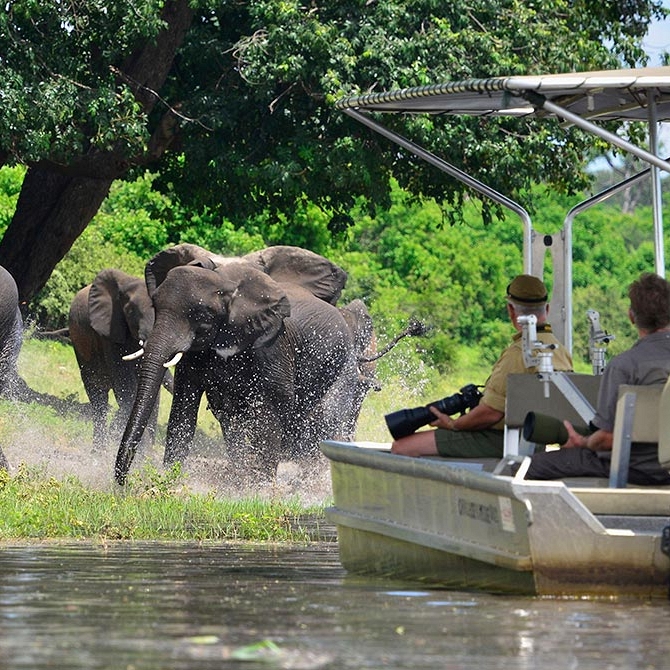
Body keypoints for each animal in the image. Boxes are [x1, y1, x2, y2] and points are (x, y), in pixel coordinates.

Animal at [68, 268, 172, 452]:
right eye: (131, 312)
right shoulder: (109, 332)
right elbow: (125, 385)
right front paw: (144, 454)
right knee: (98, 397)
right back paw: (98, 451)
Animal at [115, 244, 362, 486]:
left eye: (203, 316)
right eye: (155, 305)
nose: (122, 485)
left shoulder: (272, 345)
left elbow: (271, 410)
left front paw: (260, 489)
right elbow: (184, 409)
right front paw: (171, 481)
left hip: (342, 366)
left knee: (327, 419)